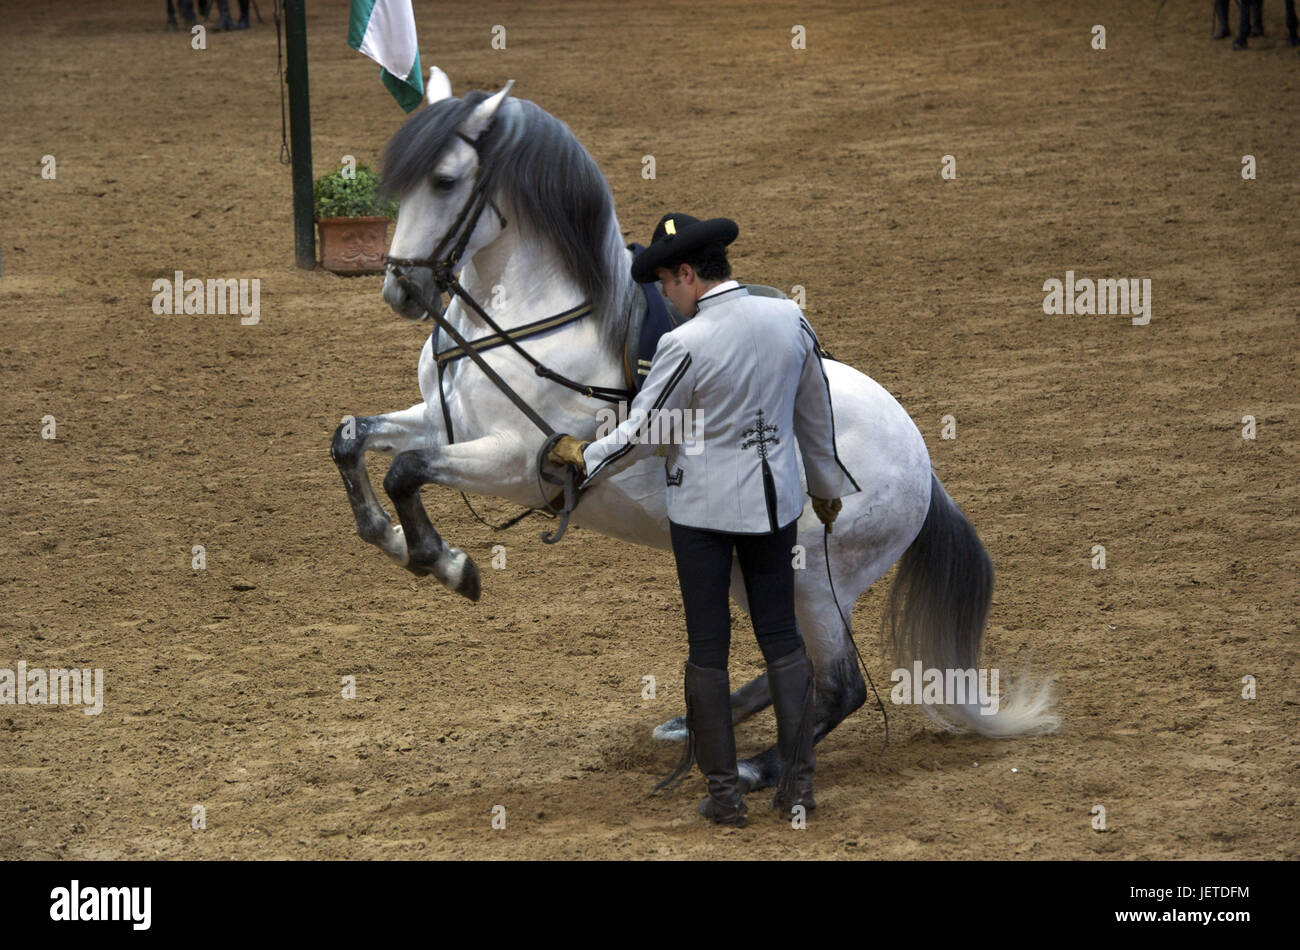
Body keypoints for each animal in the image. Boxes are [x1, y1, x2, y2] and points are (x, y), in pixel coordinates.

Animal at [330, 68, 1060, 795]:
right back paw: (690, 726)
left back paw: (756, 765)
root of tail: (923, 467)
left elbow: (406, 470)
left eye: (445, 180)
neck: (530, 320)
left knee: (840, 686)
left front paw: (445, 563)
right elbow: (352, 439)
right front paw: (388, 537)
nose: (399, 290)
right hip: (756, 569)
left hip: (813, 581)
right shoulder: (440, 419)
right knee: (793, 664)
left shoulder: (520, 462)